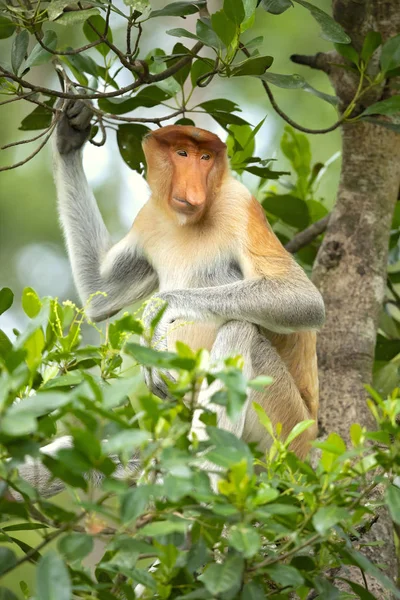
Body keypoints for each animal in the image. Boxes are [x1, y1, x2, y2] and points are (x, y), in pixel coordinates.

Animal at [11, 102, 324, 496]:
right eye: (182, 153)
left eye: (206, 157)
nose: (193, 190)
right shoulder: (150, 218)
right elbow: (102, 292)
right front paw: (70, 134)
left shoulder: (239, 205)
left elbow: (303, 300)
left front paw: (159, 312)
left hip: (284, 430)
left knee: (241, 328)